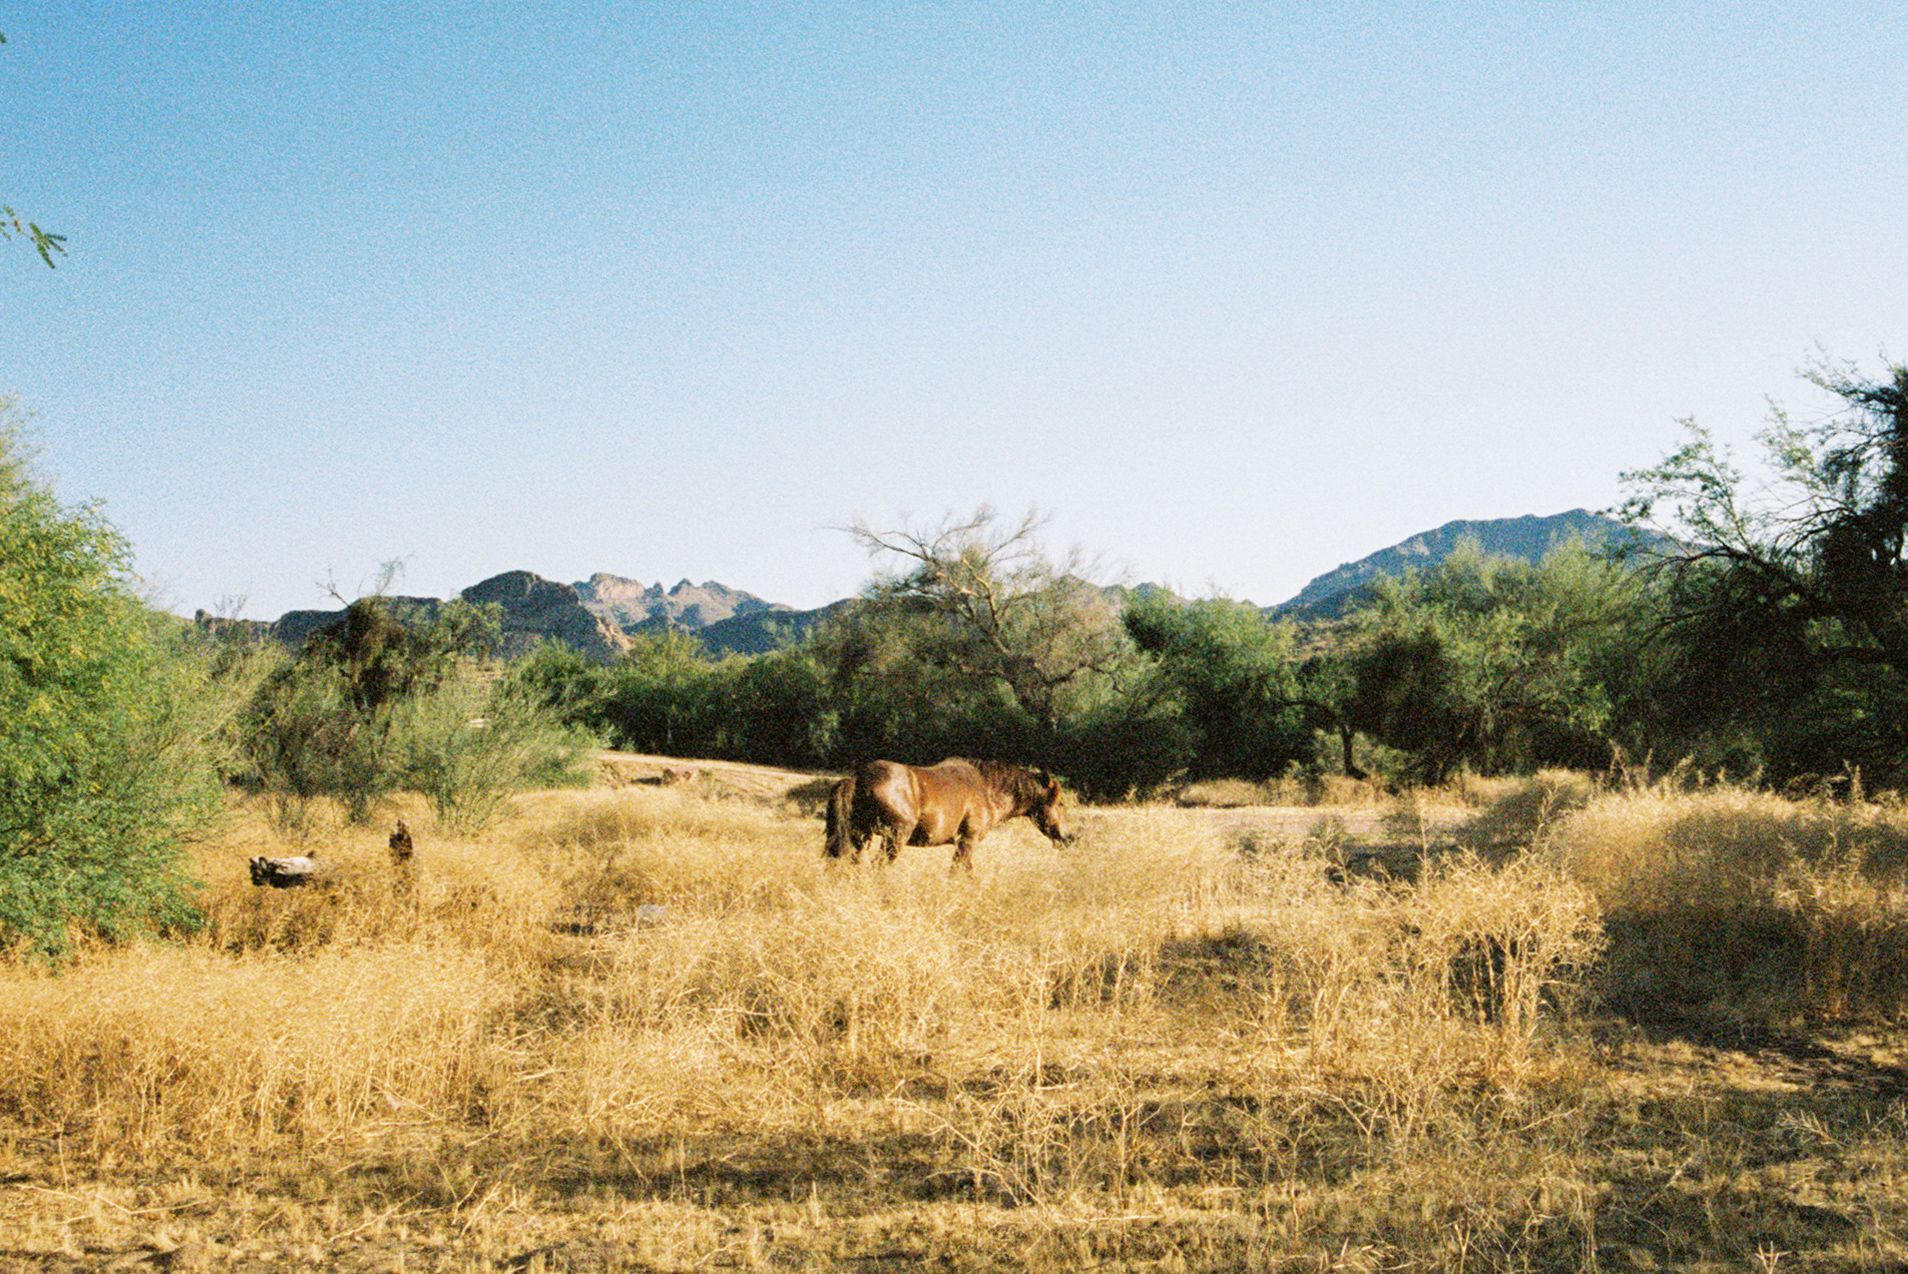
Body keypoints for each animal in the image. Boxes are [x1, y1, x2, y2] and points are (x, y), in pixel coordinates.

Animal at [824, 757, 1075, 871]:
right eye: (1060, 803)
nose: (1070, 837)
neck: (985, 788)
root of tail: (858, 779)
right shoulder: (967, 841)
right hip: (894, 838)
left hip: (860, 837)